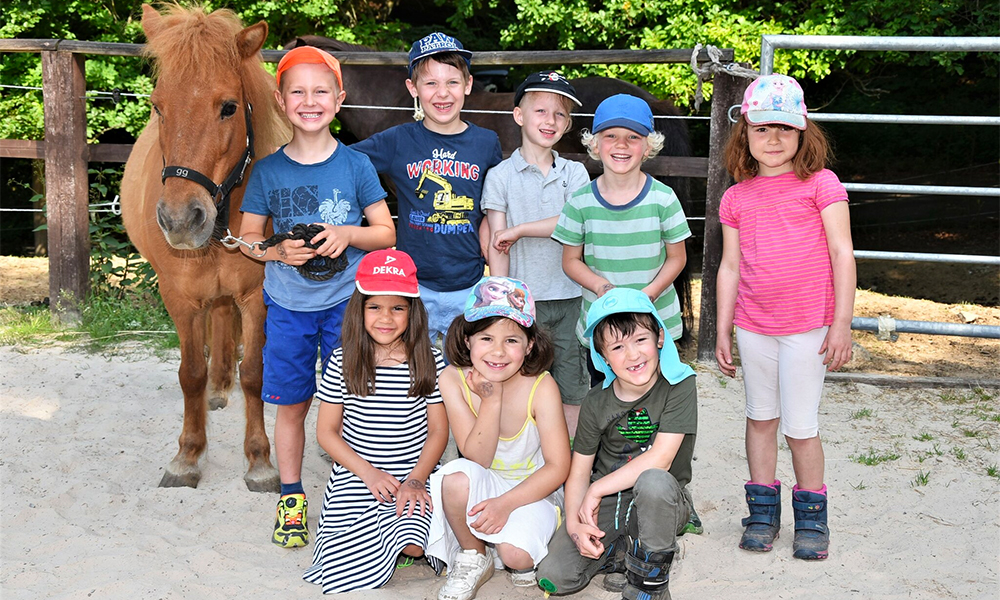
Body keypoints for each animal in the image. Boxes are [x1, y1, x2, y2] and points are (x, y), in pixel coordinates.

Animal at [120, 4, 290, 490]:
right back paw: (217, 388)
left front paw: (259, 460)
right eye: (157, 106)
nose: (180, 220)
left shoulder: (256, 298)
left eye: (228, 107)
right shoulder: (178, 297)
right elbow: (190, 374)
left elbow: (254, 374)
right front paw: (188, 455)